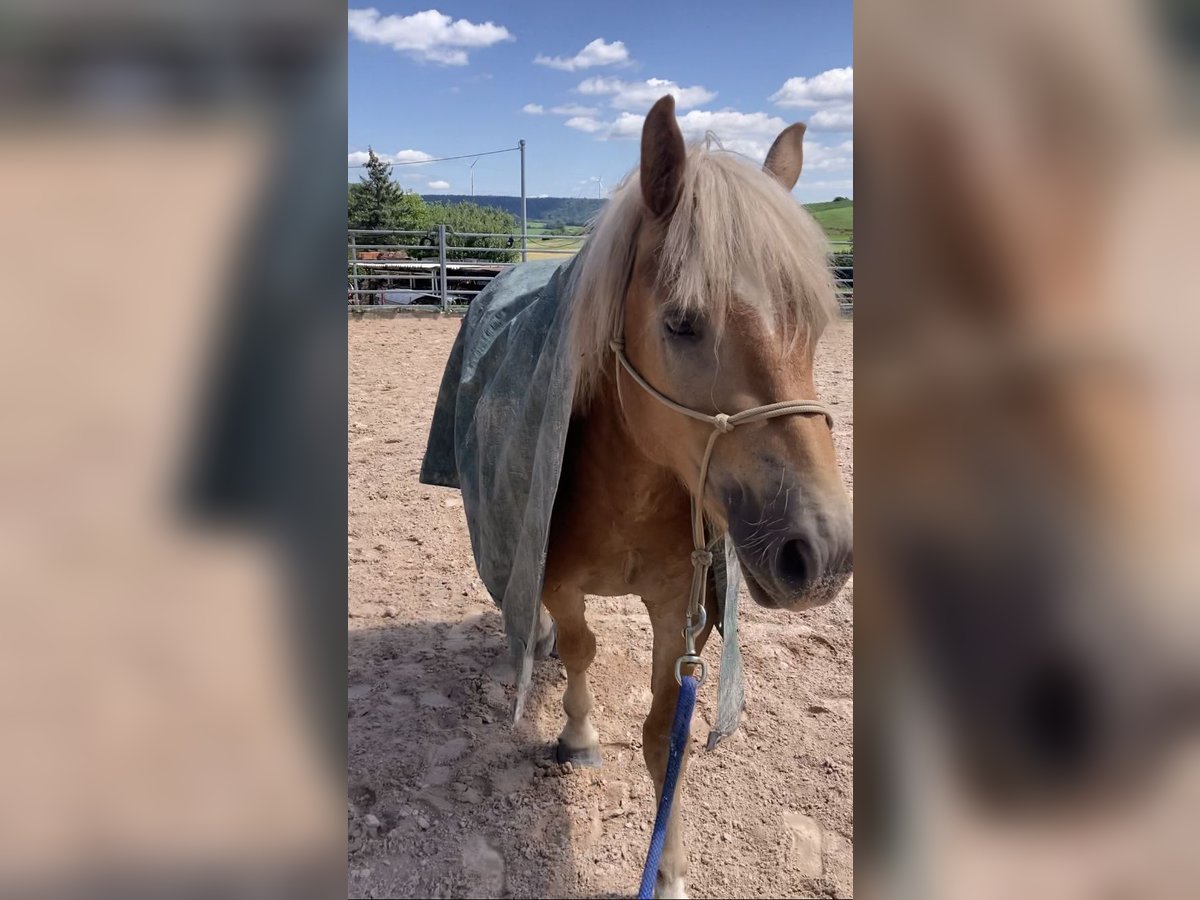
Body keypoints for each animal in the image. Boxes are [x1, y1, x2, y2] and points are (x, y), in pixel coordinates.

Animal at [544, 95, 854, 897]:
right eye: (681, 322)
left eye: (814, 325)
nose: (825, 551)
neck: (624, 493)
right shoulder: (557, 582)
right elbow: (583, 646)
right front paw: (578, 734)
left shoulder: (678, 606)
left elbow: (666, 736)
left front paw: (672, 873)